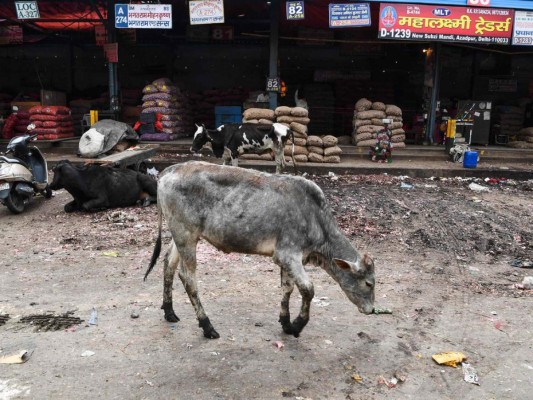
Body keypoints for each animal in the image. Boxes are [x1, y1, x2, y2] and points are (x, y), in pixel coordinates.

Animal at [142, 161, 374, 340]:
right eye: (368, 283)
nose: (372, 310)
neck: (316, 219)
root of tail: (171, 169)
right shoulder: (288, 254)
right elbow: (308, 289)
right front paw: (297, 325)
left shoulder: (287, 258)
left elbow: (288, 288)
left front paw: (286, 323)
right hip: (186, 235)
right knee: (188, 277)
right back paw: (207, 326)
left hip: (181, 236)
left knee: (168, 263)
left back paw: (169, 311)